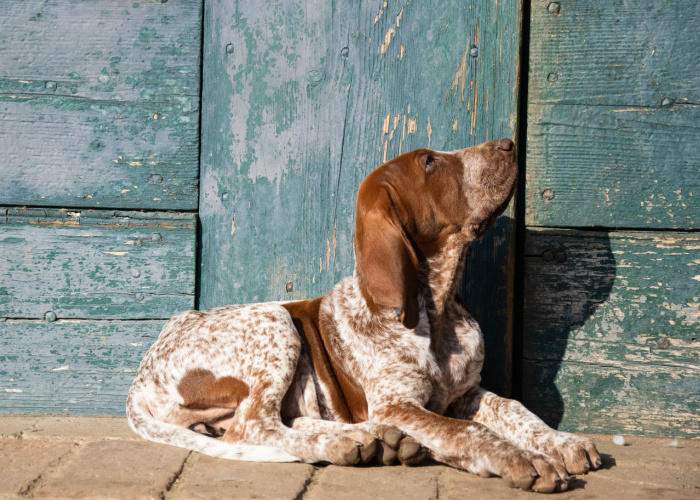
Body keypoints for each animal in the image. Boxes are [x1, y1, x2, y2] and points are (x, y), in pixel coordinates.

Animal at [127, 140, 600, 492]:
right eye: (429, 162)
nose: (508, 143)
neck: (437, 314)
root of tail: (141, 374)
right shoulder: (397, 406)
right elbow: (466, 432)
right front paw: (520, 458)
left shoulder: (465, 394)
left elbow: (513, 408)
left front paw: (560, 442)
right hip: (275, 320)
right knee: (253, 427)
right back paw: (354, 442)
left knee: (284, 421)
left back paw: (373, 441)